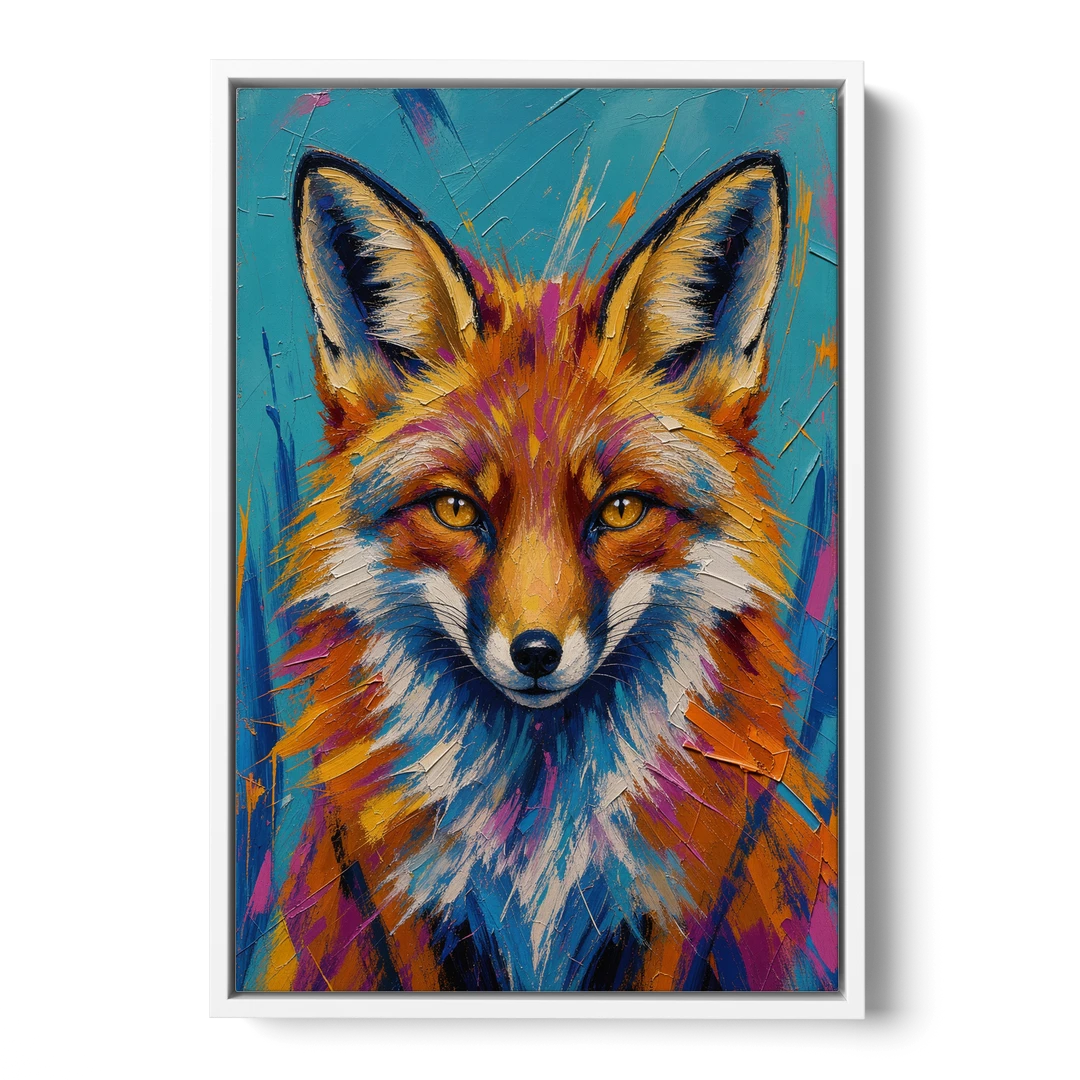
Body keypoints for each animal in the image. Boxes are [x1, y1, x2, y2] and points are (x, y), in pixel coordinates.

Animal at [260, 148, 838, 992]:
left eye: (621, 510)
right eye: (457, 509)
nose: (535, 653)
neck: (536, 840)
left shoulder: (674, 906)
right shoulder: (403, 907)